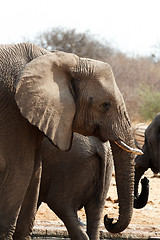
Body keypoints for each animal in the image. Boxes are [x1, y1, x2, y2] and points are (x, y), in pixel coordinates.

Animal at [0, 42, 141, 238]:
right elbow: (23, 171)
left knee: (74, 208)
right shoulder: (13, 110)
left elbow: (29, 172)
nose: (110, 219)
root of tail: (102, 149)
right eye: (105, 105)